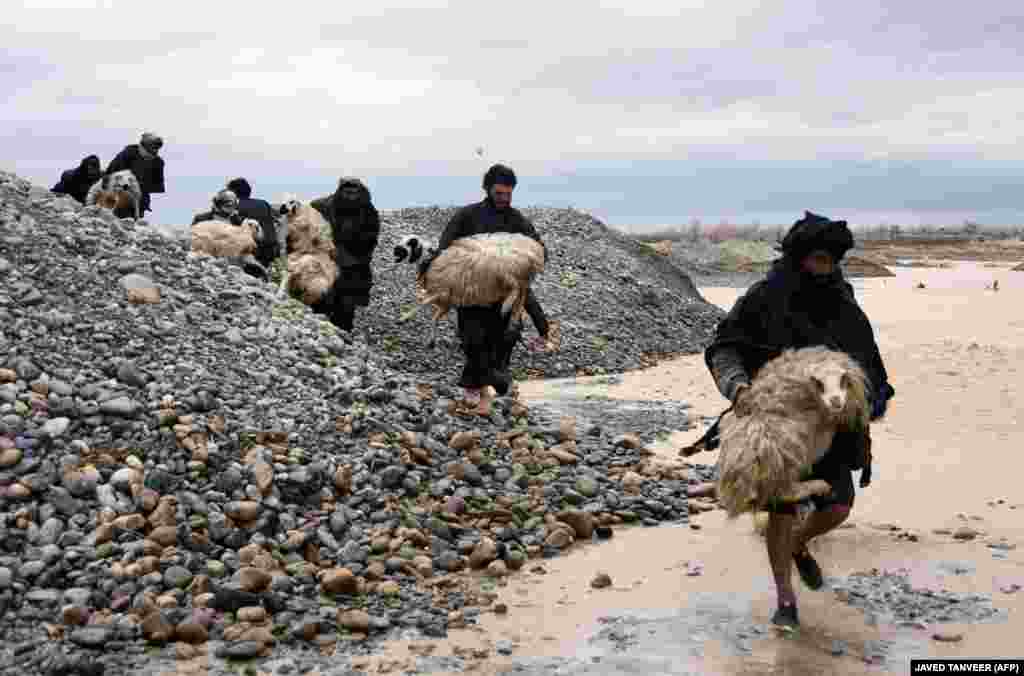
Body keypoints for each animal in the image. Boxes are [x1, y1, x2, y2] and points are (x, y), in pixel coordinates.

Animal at [712, 346, 872, 520]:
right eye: (819, 383)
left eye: (843, 379)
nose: (835, 401)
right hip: (784, 452)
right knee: (780, 491)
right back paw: (817, 486)